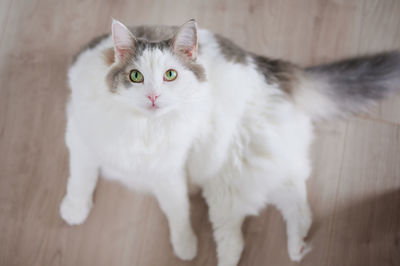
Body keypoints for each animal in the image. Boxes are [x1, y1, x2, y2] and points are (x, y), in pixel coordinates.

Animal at [59, 18, 400, 266]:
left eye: (170, 75)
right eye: (135, 77)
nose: (153, 97)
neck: (143, 126)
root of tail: (271, 68)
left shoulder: (169, 171)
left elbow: (178, 212)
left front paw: (185, 246)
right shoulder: (81, 136)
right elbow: (80, 178)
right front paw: (75, 209)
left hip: (227, 177)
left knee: (240, 236)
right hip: (247, 173)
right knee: (294, 209)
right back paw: (297, 248)